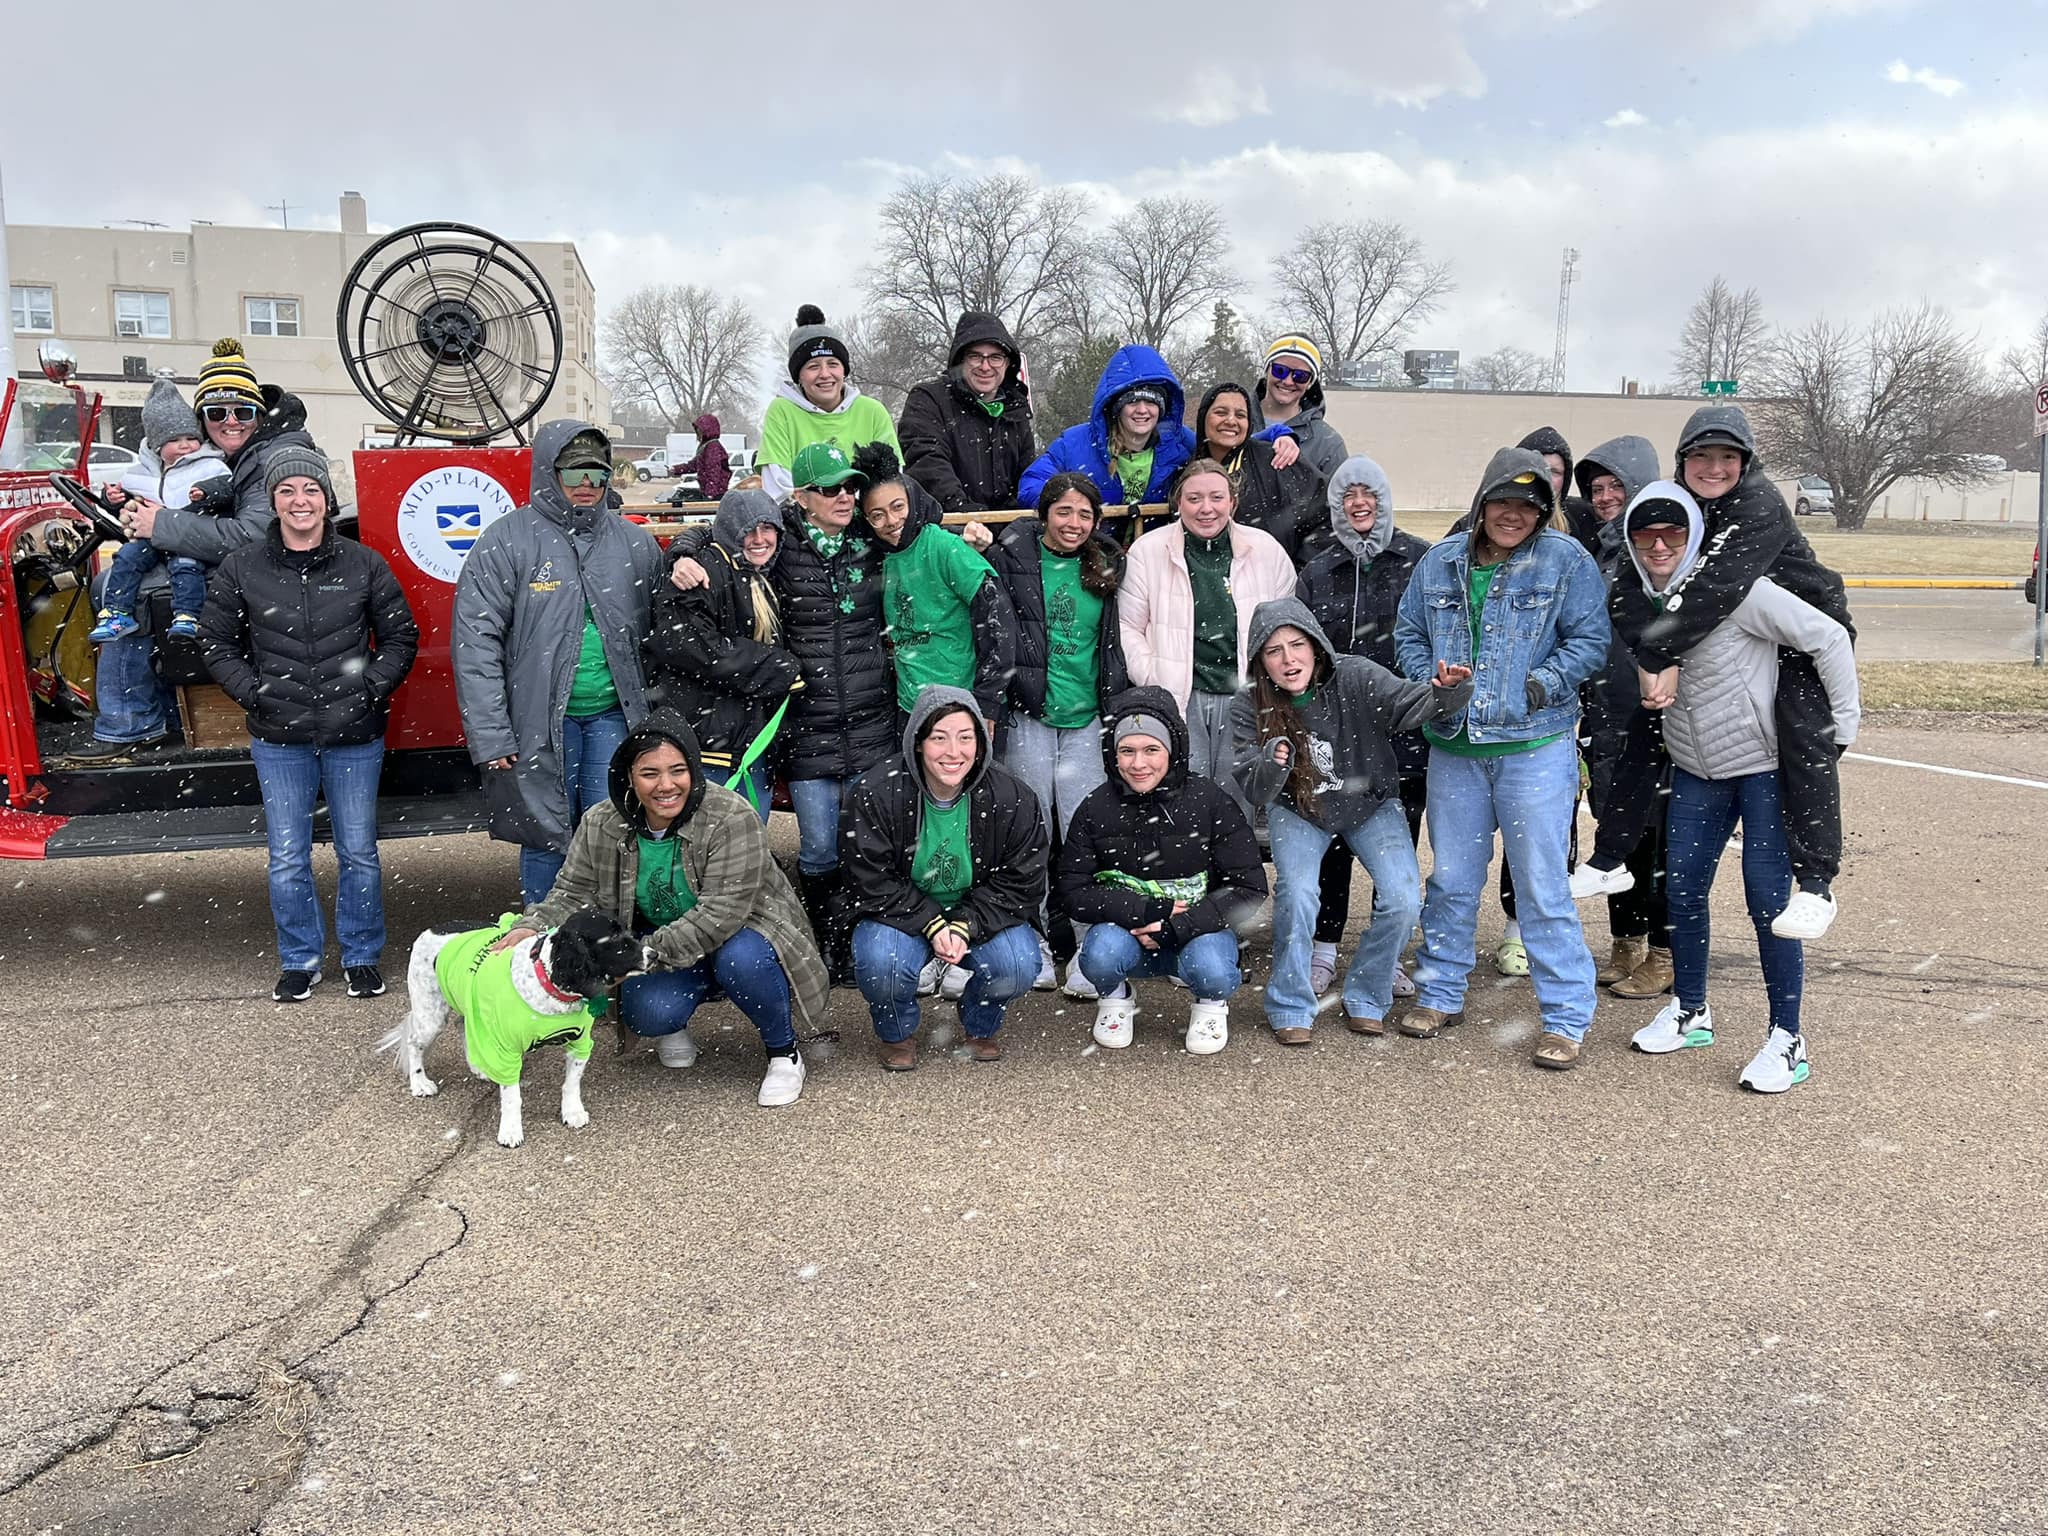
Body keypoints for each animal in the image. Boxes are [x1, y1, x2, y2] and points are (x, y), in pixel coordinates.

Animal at [374, 909, 647, 1146]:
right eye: (613, 938)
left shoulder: (580, 1043)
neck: (548, 985)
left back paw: (478, 1067)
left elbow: (571, 1083)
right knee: (414, 1042)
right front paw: (510, 1131)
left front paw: (572, 1112)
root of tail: (431, 929)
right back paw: (420, 1083)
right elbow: (512, 1097)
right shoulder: (506, 1050)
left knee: (464, 1025)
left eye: (626, 930)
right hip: (431, 1015)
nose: (652, 953)